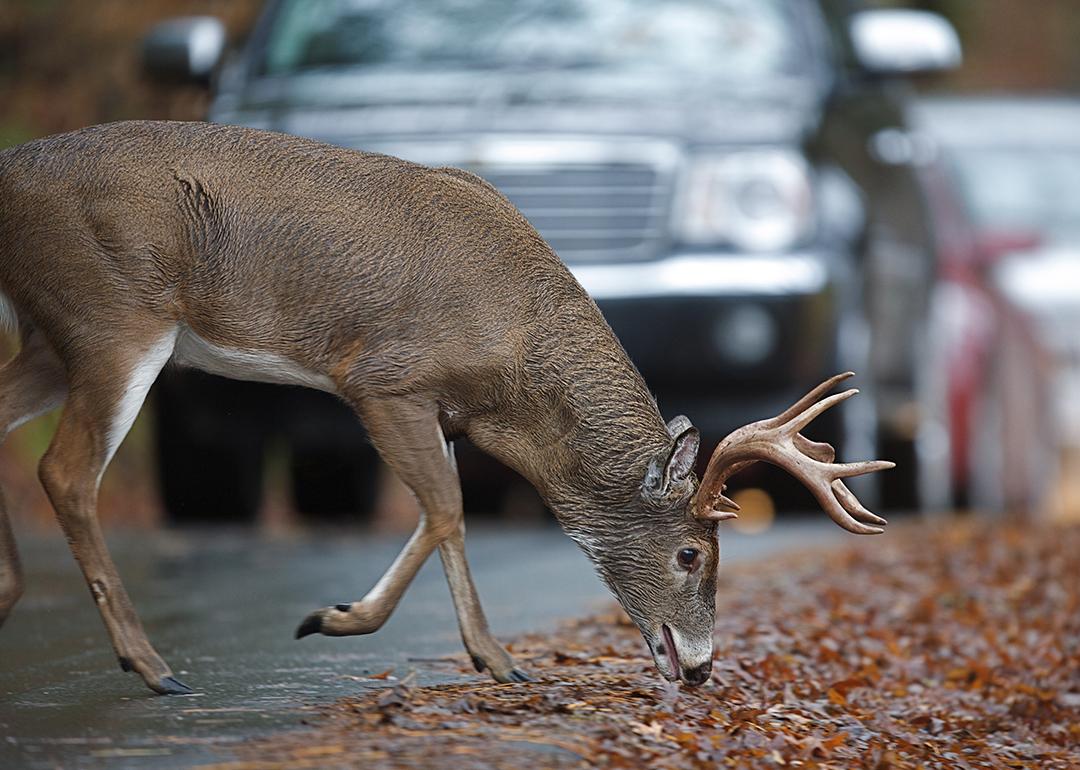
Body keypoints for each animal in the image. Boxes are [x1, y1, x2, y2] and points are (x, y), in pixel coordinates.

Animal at [0, 121, 892, 696]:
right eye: (690, 554)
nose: (704, 668)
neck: (517, 365)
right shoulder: (382, 378)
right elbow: (448, 508)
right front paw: (350, 624)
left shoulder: (444, 412)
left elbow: (443, 514)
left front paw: (471, 651)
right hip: (113, 317)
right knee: (64, 472)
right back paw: (152, 667)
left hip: (51, 336)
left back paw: (13, 596)